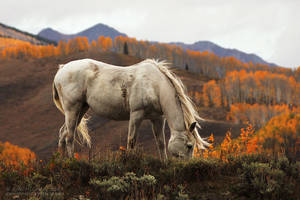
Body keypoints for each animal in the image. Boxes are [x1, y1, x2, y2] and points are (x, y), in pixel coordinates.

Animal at [52, 58, 209, 160]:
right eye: (189, 146)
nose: (187, 165)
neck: (155, 86)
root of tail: (62, 69)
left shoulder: (158, 118)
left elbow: (161, 143)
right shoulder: (136, 115)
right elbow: (131, 141)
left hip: (81, 109)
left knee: (62, 133)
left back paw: (60, 161)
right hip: (72, 109)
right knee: (69, 136)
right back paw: (72, 161)